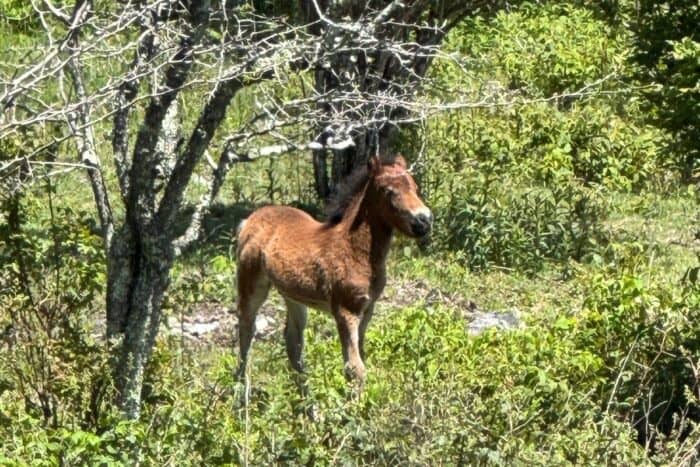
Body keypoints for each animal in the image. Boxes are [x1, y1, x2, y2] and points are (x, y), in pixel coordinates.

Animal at [234, 153, 432, 393]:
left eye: (415, 187)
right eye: (388, 191)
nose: (424, 221)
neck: (353, 248)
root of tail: (249, 219)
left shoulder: (367, 308)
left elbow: (360, 357)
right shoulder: (345, 310)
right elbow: (354, 369)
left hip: (292, 295)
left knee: (293, 343)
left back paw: (307, 402)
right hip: (251, 282)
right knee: (246, 330)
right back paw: (241, 396)